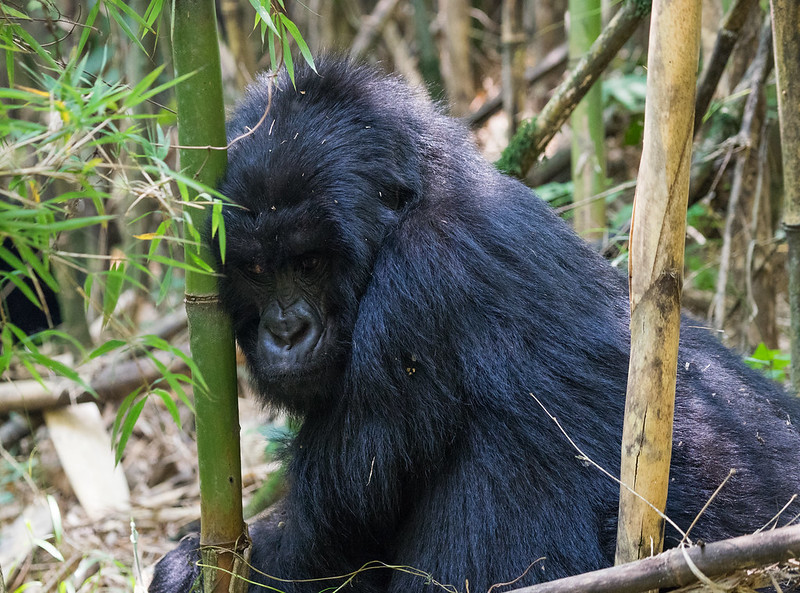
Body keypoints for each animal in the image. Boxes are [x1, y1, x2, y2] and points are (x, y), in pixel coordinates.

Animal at [150, 59, 800, 592]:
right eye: (258, 269)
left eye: (309, 263)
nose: (286, 333)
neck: (416, 201)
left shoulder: (417, 288)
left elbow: (327, 539)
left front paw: (192, 569)